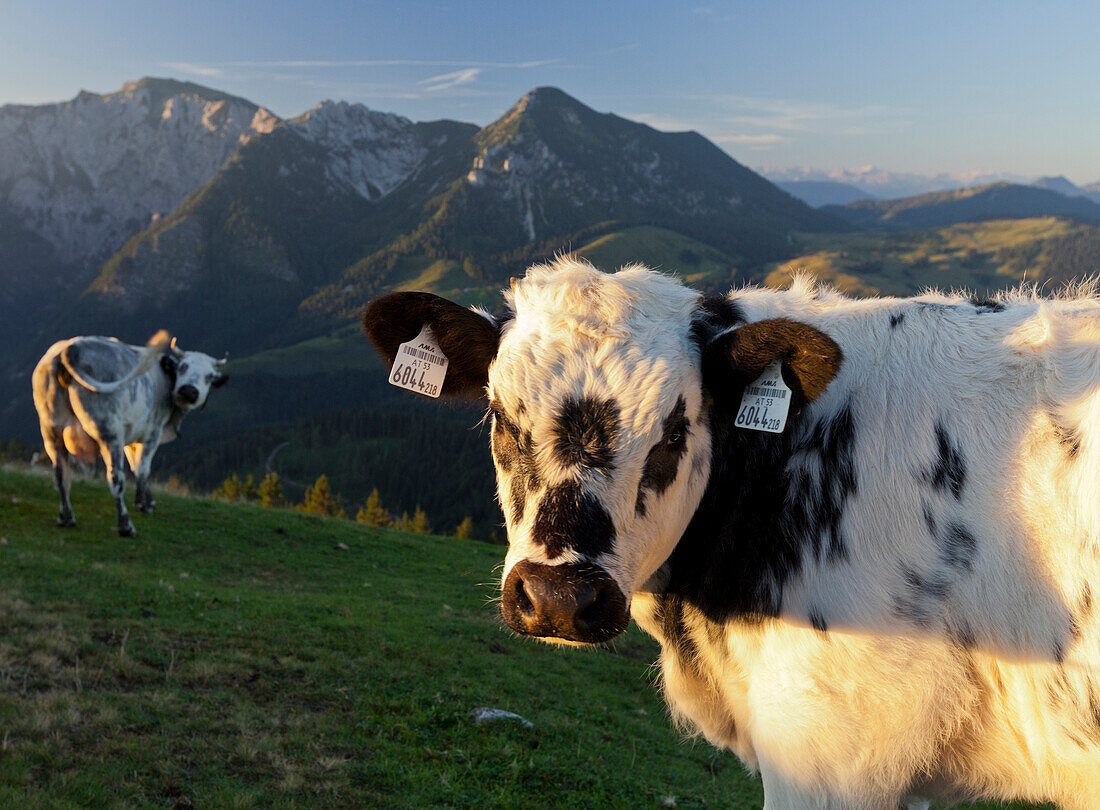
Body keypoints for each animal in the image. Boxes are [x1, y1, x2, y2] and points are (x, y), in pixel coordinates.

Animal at [33, 332, 228, 534]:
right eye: (183, 367)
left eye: (209, 376)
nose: (189, 390)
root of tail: (70, 348)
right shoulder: (152, 432)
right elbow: (142, 468)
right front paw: (143, 505)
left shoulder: (132, 433)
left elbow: (134, 465)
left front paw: (146, 501)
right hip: (108, 429)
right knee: (115, 478)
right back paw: (125, 526)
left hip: (51, 429)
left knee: (61, 475)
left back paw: (66, 518)